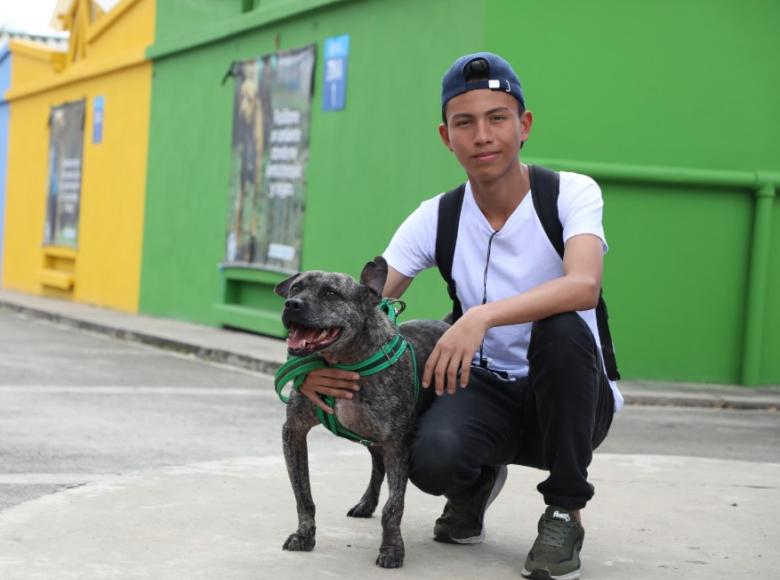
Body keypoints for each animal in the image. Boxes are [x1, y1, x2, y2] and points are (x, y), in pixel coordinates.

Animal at [276, 256, 448, 568]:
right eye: (295, 288)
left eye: (330, 293)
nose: (292, 304)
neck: (344, 361)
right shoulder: (293, 431)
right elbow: (302, 494)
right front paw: (304, 535)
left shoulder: (397, 444)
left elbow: (394, 506)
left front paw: (392, 549)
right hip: (368, 436)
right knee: (377, 467)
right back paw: (366, 503)